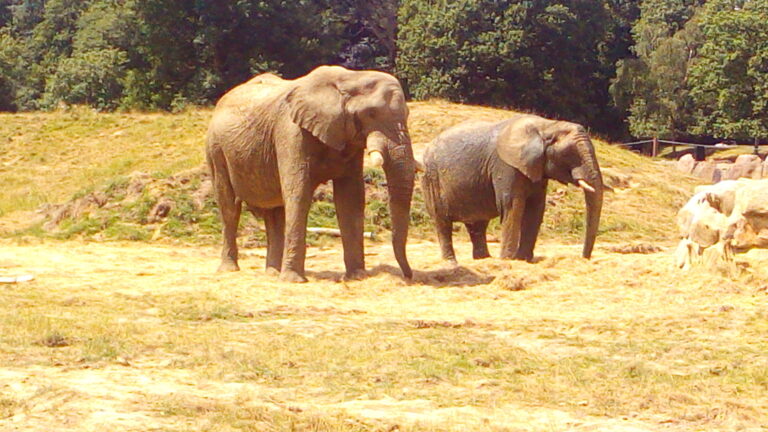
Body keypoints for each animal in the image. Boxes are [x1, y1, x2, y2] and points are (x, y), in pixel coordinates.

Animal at [204, 63, 416, 280]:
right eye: (371, 113)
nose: (407, 276)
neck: (350, 77)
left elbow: (351, 197)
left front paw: (357, 276)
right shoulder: (291, 132)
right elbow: (299, 194)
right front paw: (294, 281)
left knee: (274, 214)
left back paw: (272, 273)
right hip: (215, 149)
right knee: (229, 207)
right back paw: (230, 270)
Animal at [420, 115, 608, 262]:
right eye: (569, 154)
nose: (584, 258)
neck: (546, 126)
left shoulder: (536, 168)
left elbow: (535, 208)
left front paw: (523, 259)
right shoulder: (506, 166)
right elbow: (513, 205)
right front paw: (508, 260)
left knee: (477, 225)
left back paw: (484, 259)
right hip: (431, 179)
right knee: (442, 222)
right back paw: (451, 263)